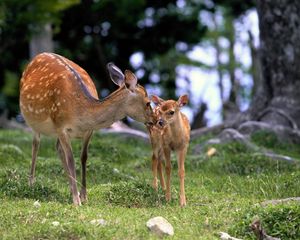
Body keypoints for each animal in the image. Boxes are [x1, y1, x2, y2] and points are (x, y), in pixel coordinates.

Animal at [19, 53, 154, 206]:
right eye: (148, 102)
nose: (155, 120)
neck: (81, 112)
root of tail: (39, 55)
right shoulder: (60, 126)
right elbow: (71, 159)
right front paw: (76, 201)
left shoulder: (89, 131)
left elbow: (84, 157)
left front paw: (83, 195)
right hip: (33, 121)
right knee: (36, 145)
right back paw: (31, 184)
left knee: (57, 148)